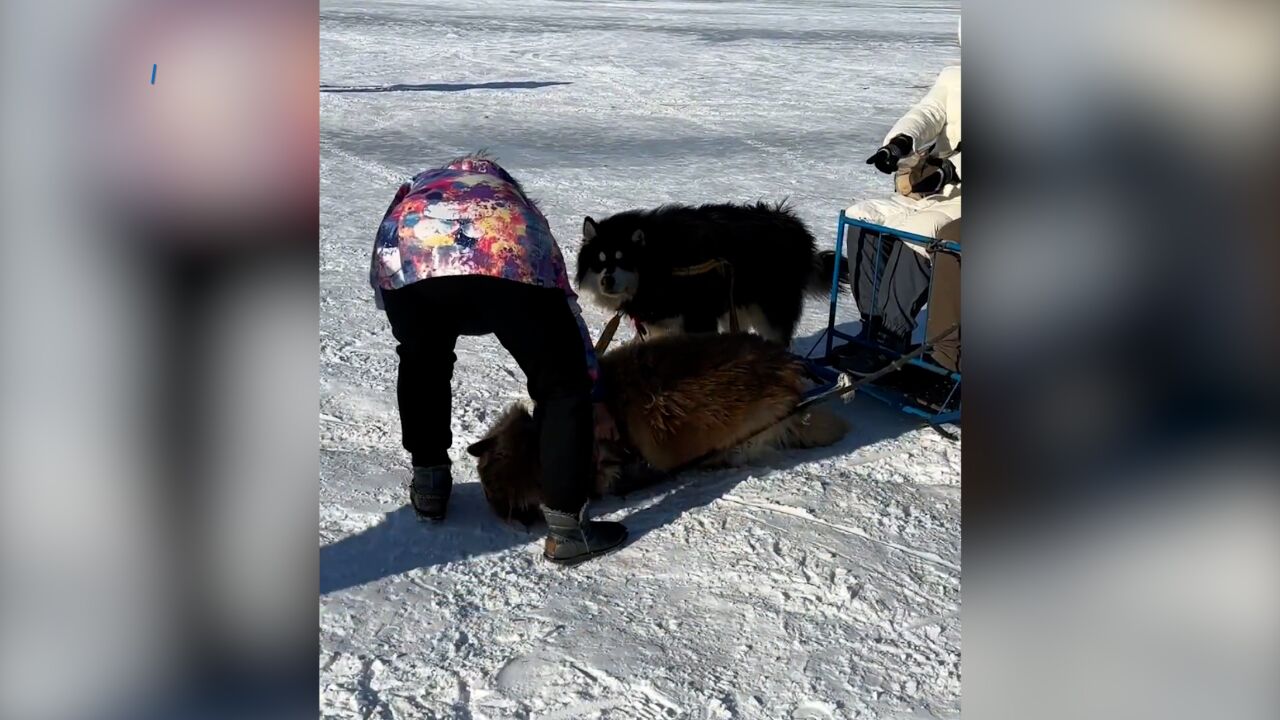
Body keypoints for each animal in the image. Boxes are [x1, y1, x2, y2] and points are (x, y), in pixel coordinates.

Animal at [576, 199, 844, 345]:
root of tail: (796, 226)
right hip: (736, 307)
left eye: (624, 260)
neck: (663, 262)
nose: (607, 280)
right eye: (600, 261)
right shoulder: (660, 325)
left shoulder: (698, 320)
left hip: (770, 312)